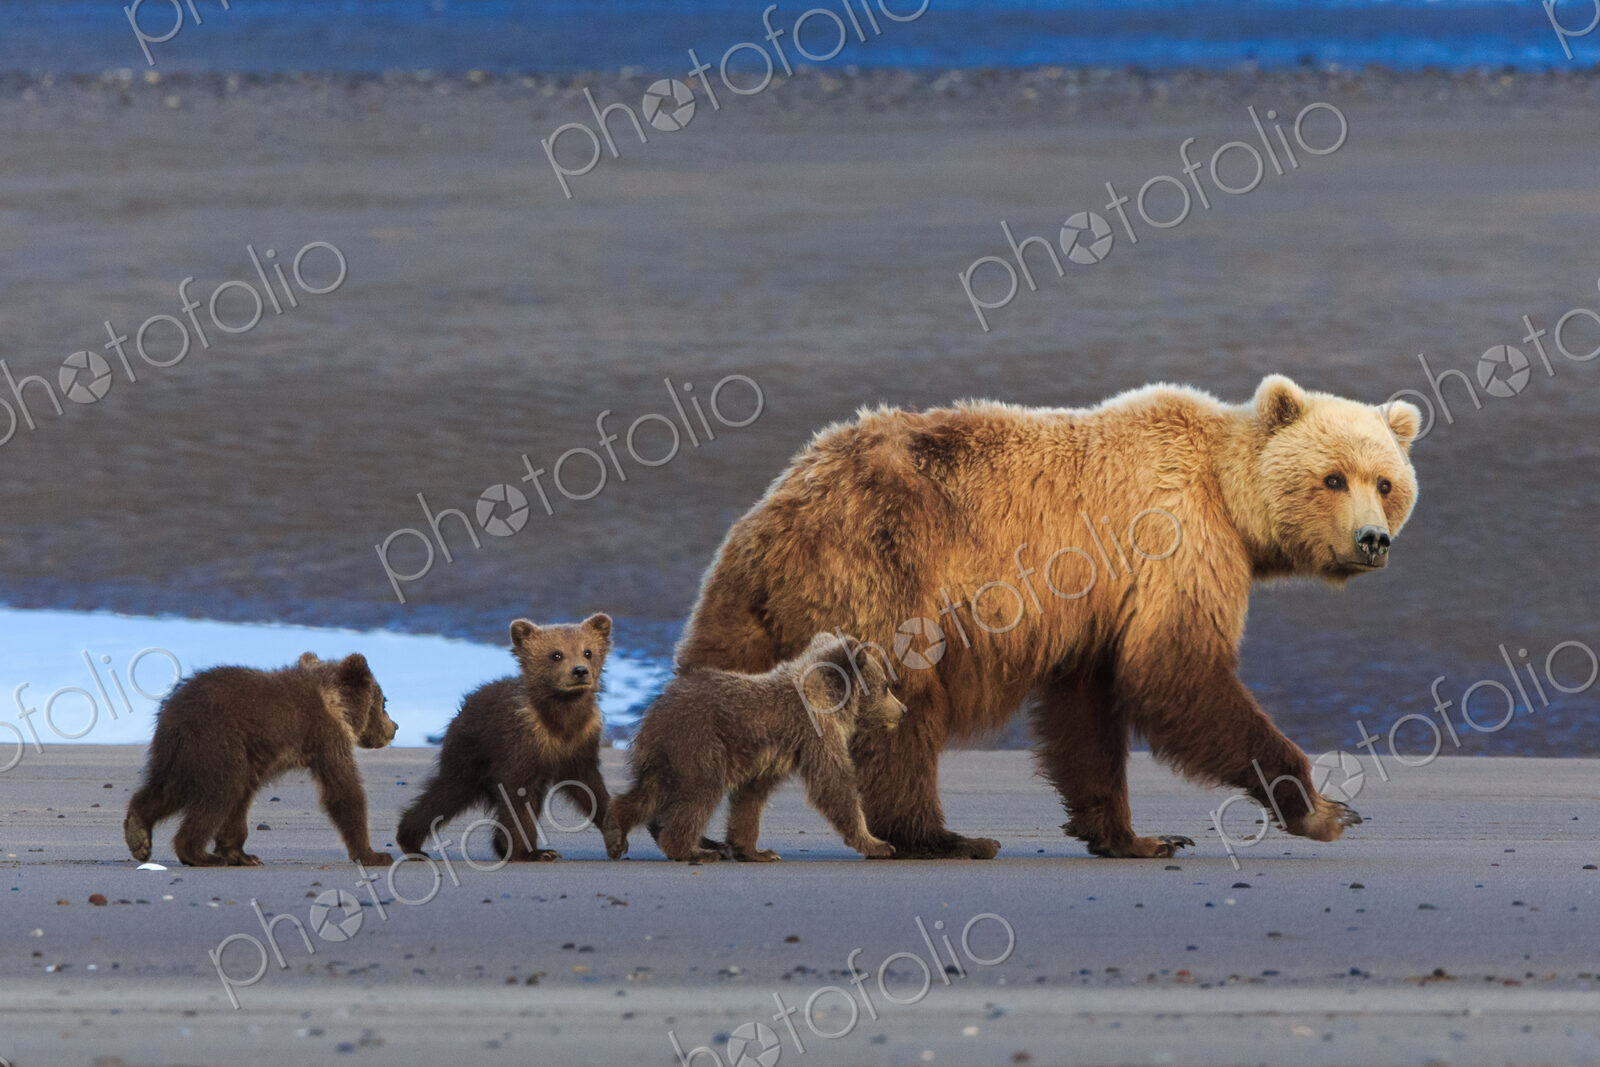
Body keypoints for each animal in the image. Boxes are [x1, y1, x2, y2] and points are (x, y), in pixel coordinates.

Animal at [124, 652, 397, 867]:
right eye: (384, 702)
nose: (394, 727)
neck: (334, 703)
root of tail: (174, 711)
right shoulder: (326, 736)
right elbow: (343, 790)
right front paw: (373, 855)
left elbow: (241, 802)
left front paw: (240, 853)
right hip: (216, 740)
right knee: (220, 792)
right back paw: (199, 854)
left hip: (177, 752)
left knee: (168, 790)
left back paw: (138, 833)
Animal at [396, 614, 612, 862]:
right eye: (556, 654)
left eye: (588, 652)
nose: (580, 671)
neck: (561, 717)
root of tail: (465, 704)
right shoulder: (520, 744)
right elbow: (515, 797)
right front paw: (532, 851)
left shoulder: (581, 743)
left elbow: (591, 788)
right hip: (469, 753)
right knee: (449, 791)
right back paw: (410, 842)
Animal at [603, 632, 906, 863]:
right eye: (885, 686)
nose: (903, 709)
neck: (829, 700)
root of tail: (654, 710)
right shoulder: (814, 731)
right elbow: (834, 784)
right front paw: (878, 843)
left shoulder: (767, 757)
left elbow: (750, 799)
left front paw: (757, 851)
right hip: (698, 741)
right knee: (699, 792)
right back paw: (694, 850)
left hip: (667, 753)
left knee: (649, 792)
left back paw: (616, 830)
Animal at [675, 374, 1422, 860]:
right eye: (1332, 477)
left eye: (1386, 482)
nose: (1373, 539)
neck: (1230, 501)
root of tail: (780, 511)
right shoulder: (1174, 541)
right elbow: (1176, 671)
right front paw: (1322, 808)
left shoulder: (1099, 609)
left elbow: (1088, 714)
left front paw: (1134, 835)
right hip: (883, 572)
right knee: (904, 705)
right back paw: (943, 835)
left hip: (747, 599)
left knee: (715, 673)